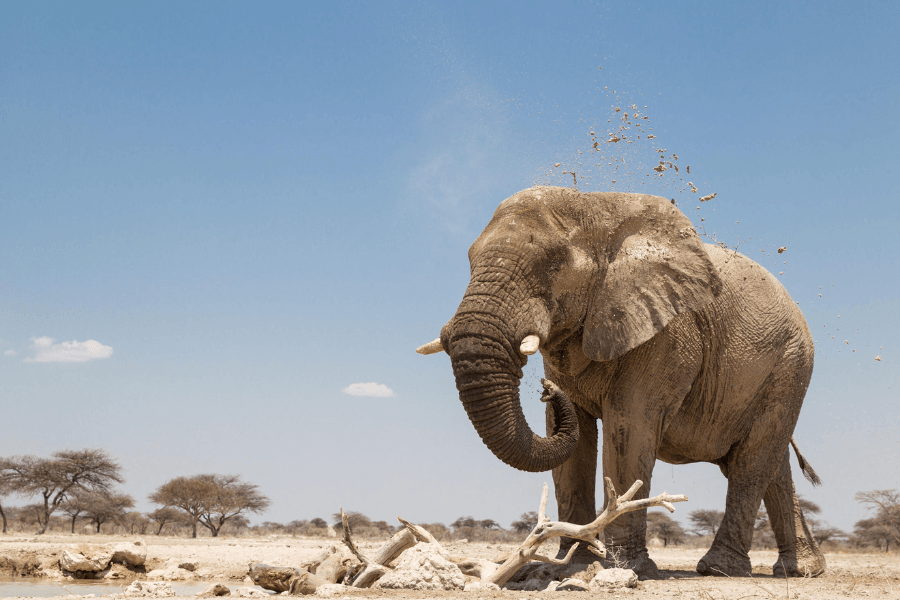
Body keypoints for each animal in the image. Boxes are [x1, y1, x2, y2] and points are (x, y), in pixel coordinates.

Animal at [416, 186, 825, 579]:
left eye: (554, 263)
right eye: (470, 260)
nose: (547, 390)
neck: (595, 210)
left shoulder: (666, 333)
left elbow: (629, 428)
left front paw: (620, 569)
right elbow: (574, 441)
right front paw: (566, 565)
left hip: (791, 363)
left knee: (750, 462)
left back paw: (720, 568)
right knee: (772, 466)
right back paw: (801, 570)